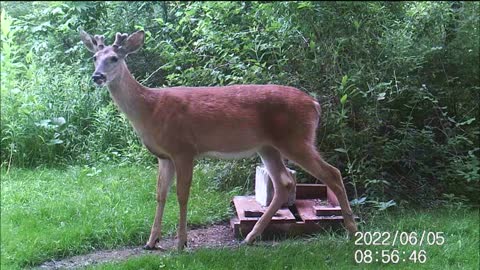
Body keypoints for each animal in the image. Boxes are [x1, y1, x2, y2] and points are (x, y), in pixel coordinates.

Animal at [79, 28, 356, 250]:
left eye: (114, 58)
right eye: (94, 58)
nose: (97, 76)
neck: (150, 109)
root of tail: (315, 104)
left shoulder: (184, 149)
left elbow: (182, 194)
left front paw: (181, 243)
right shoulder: (164, 156)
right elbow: (160, 194)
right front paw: (151, 242)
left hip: (296, 139)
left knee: (332, 173)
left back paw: (352, 230)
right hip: (268, 146)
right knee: (284, 183)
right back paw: (250, 237)